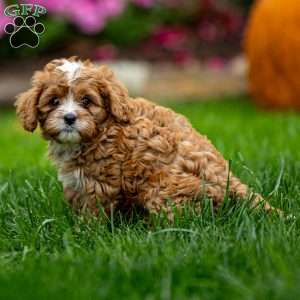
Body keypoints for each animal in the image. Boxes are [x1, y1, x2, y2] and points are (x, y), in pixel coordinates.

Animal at [15, 56, 276, 216]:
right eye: (54, 101)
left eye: (87, 101)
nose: (69, 118)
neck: (102, 129)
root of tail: (230, 179)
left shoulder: (100, 183)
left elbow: (94, 211)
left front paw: (85, 233)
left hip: (162, 187)